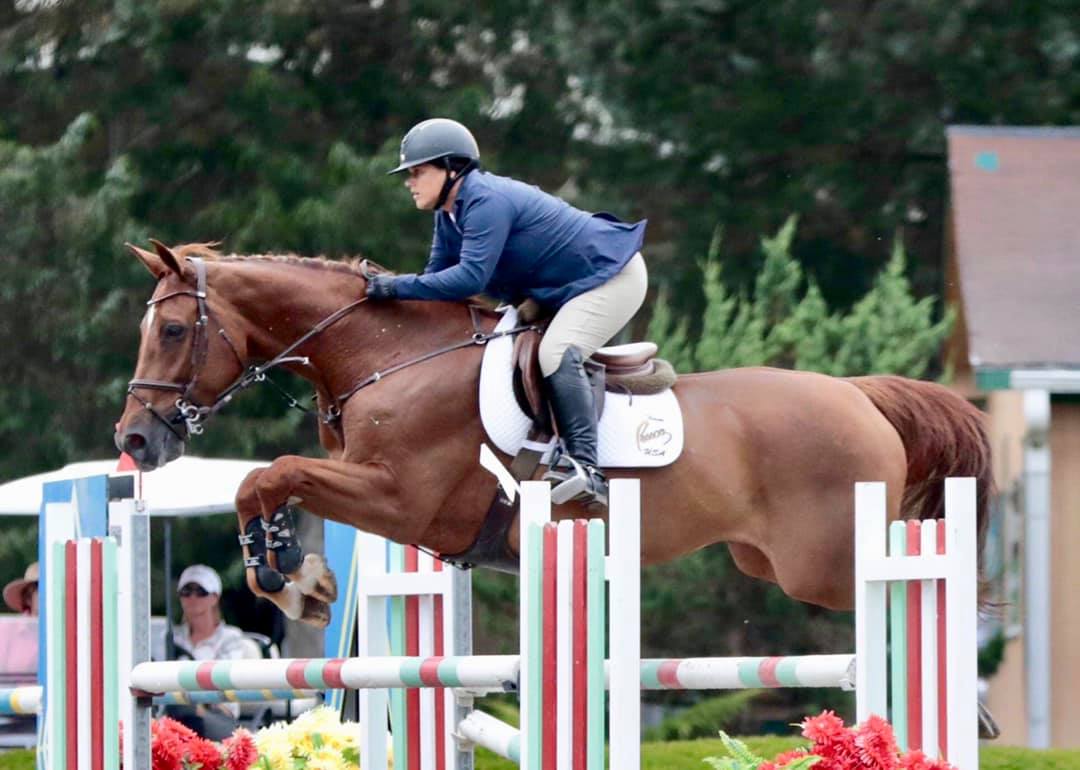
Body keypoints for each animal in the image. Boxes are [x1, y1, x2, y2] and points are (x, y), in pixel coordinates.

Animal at [114, 240, 993, 627]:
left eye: (172, 331)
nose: (136, 443)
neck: (388, 356)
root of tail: (860, 396)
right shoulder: (385, 498)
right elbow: (268, 480)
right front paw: (293, 576)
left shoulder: (403, 497)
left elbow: (269, 472)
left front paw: (290, 579)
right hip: (770, 557)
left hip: (824, 565)